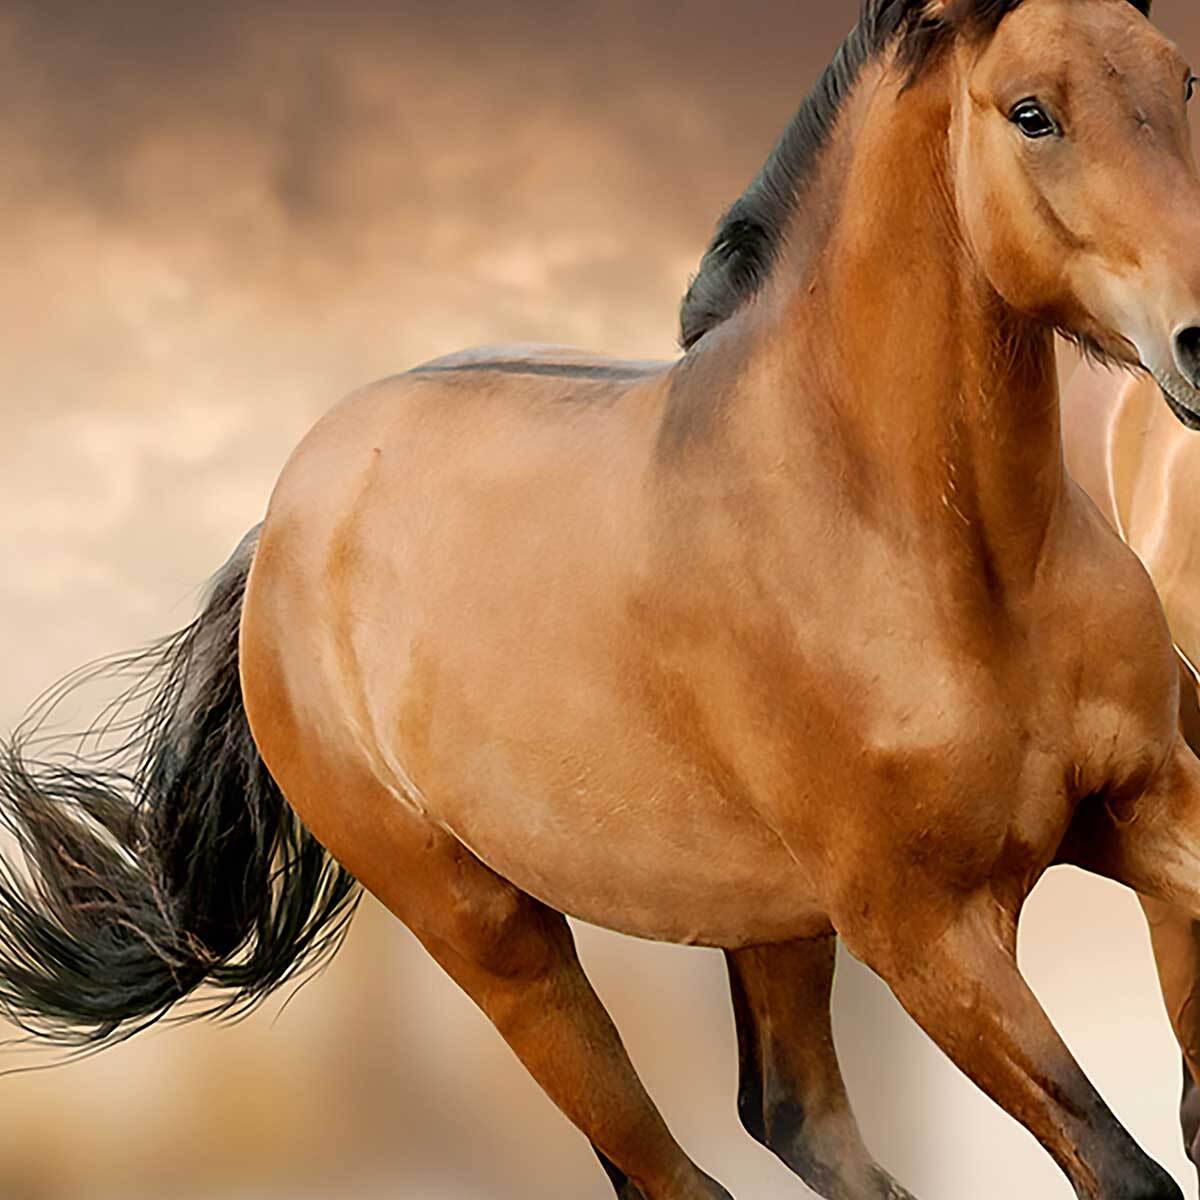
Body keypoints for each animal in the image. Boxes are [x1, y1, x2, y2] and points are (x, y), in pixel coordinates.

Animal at [4, 0, 1200, 1196]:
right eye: (1031, 112)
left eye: (1181, 78)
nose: (1197, 340)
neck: (946, 556)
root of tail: (281, 528)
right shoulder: (925, 933)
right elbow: (1123, 1163)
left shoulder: (1148, 798)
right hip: (496, 940)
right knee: (667, 1164)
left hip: (759, 911)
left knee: (791, 1114)